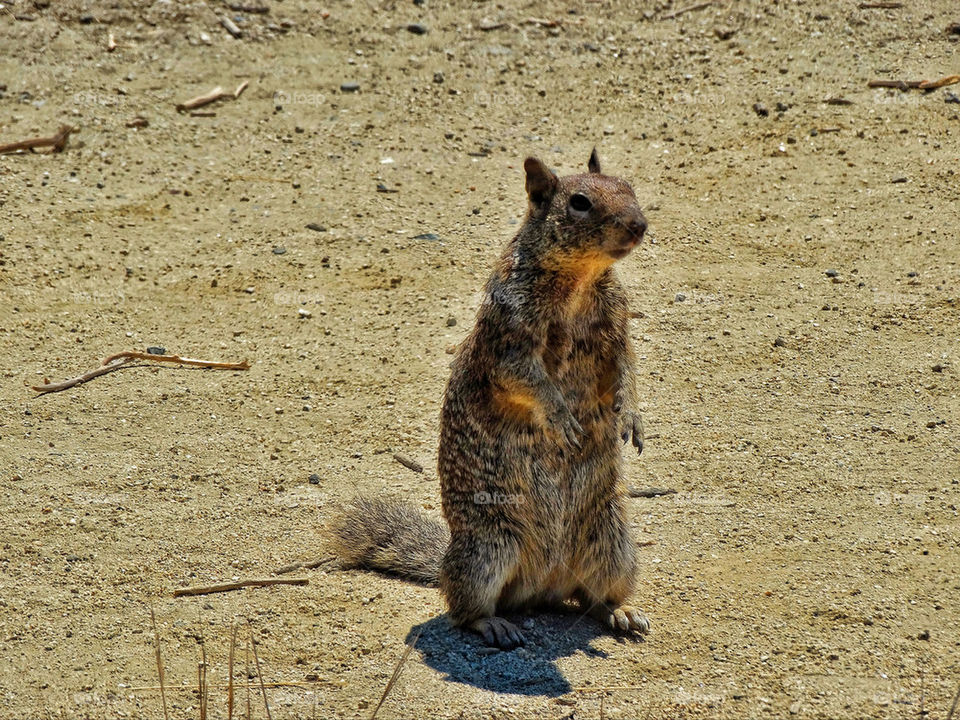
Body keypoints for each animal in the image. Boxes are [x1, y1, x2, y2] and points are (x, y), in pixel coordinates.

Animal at [330, 149, 652, 648]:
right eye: (579, 202)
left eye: (629, 187)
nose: (639, 224)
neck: (580, 281)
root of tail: (544, 588)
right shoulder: (508, 341)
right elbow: (528, 380)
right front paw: (561, 417)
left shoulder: (616, 329)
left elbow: (627, 370)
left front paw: (631, 418)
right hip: (487, 551)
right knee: (463, 608)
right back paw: (495, 625)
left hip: (614, 544)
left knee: (592, 598)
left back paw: (622, 612)